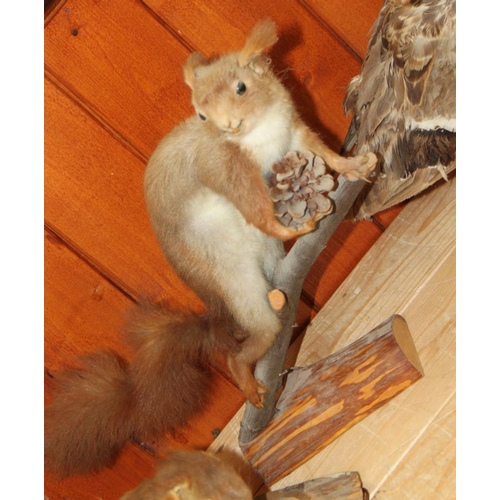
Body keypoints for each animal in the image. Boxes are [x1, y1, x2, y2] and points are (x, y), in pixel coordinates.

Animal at [45, 18, 376, 476]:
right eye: (200, 114)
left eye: (241, 87)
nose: (228, 127)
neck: (259, 131)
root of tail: (217, 307)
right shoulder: (223, 165)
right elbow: (252, 204)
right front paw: (289, 226)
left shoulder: (293, 132)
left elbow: (322, 150)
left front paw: (356, 165)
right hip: (232, 281)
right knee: (247, 345)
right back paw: (249, 381)